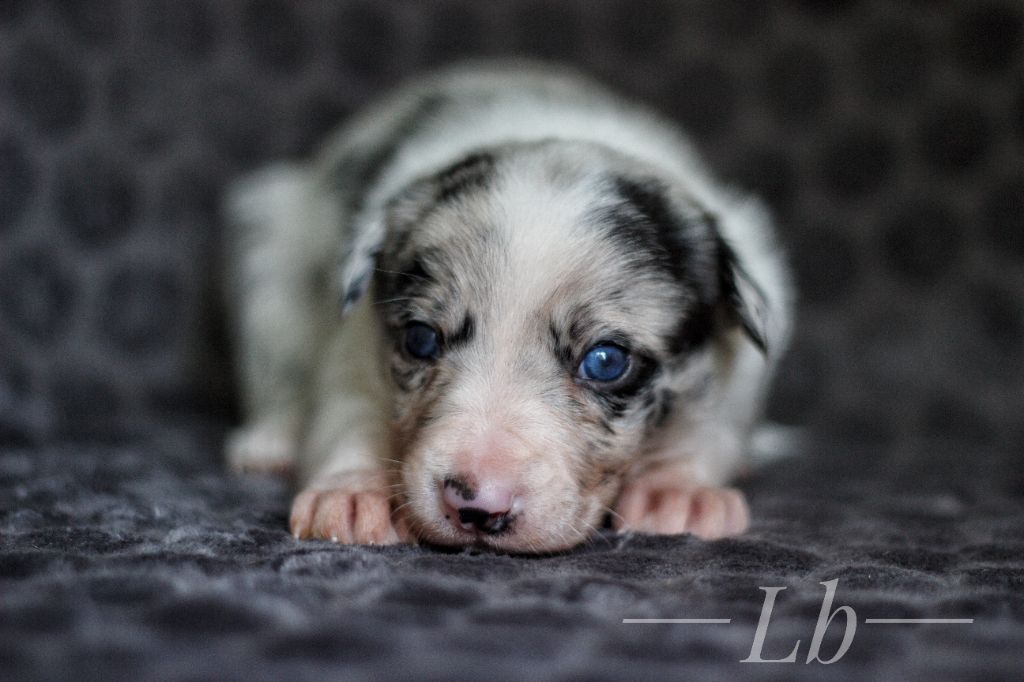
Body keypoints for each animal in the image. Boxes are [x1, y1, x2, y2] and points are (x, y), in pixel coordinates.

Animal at [222, 62, 790, 552]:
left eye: (607, 361)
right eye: (420, 339)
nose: (474, 507)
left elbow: (712, 422)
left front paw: (678, 491)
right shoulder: (356, 345)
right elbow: (349, 408)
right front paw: (354, 492)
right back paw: (272, 439)